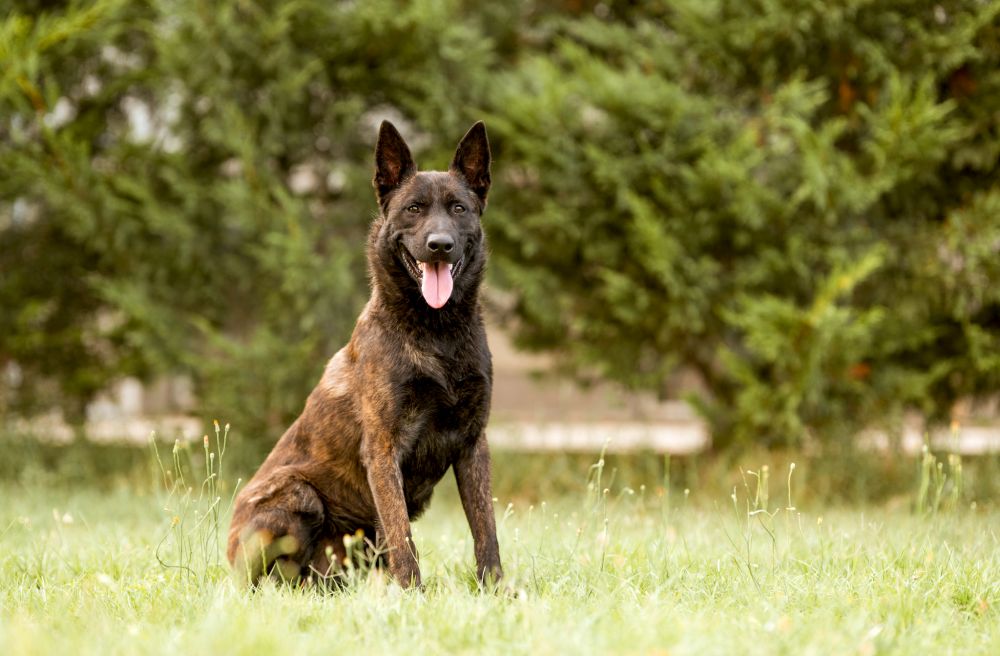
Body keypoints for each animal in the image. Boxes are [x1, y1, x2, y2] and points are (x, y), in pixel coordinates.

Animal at [229, 120, 504, 588]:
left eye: (459, 209)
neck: (436, 333)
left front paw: (497, 589)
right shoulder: (382, 449)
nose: (440, 244)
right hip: (296, 492)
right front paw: (414, 593)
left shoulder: (473, 445)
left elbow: (486, 529)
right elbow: (401, 535)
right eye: (413, 208)